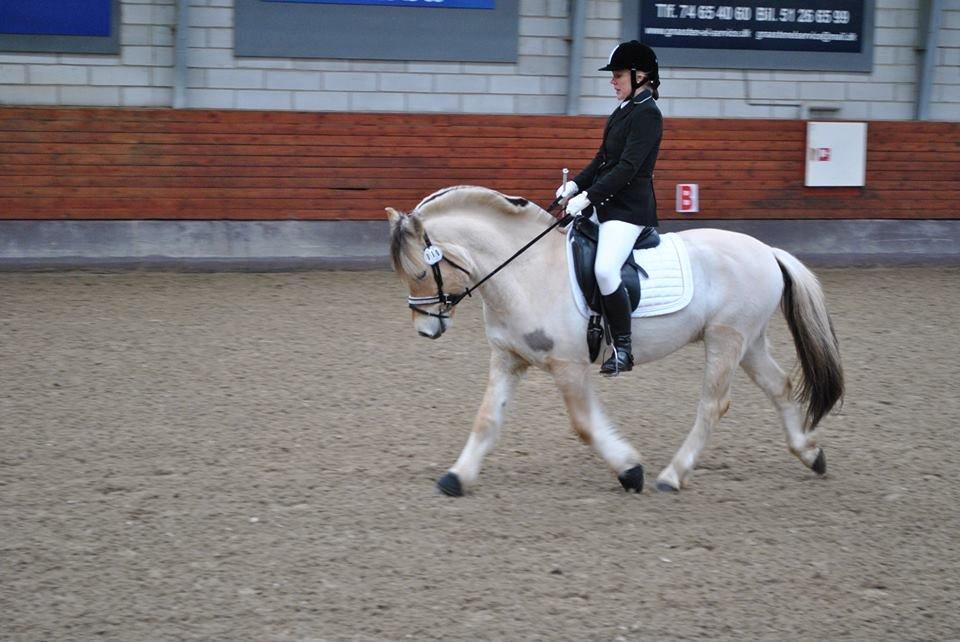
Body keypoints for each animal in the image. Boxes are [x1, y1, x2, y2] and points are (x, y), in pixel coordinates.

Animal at [386, 185, 844, 496]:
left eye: (421, 271)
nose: (426, 329)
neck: (526, 269)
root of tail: (767, 251)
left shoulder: (568, 365)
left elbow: (584, 424)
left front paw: (630, 470)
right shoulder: (508, 358)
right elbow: (486, 419)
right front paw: (456, 477)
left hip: (725, 339)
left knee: (713, 405)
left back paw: (671, 476)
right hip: (749, 341)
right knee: (780, 386)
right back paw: (811, 454)